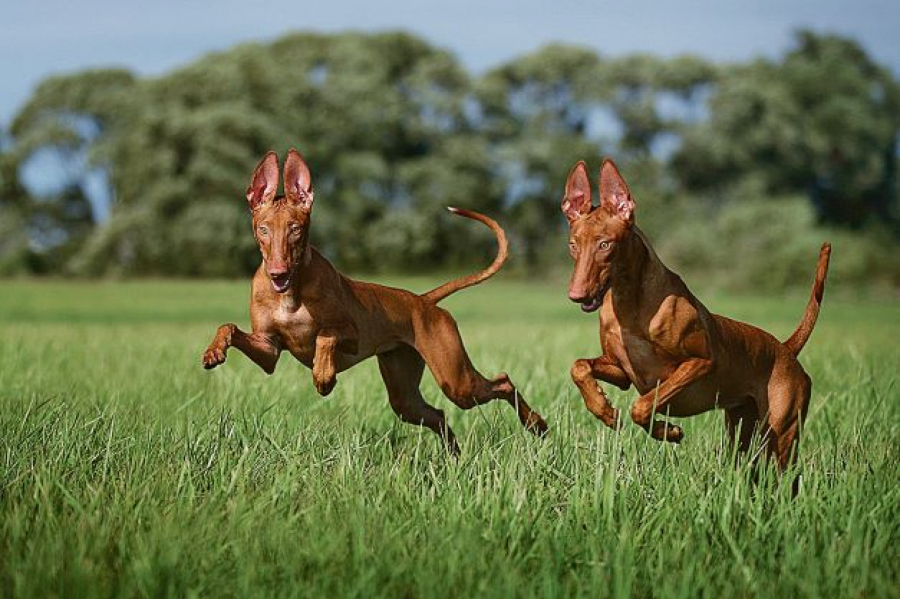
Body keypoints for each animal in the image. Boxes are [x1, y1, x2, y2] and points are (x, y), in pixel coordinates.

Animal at [202, 150, 548, 454]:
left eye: (295, 229)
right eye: (263, 229)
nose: (278, 272)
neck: (291, 291)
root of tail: (423, 301)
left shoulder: (351, 335)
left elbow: (325, 335)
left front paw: (323, 376)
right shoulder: (269, 350)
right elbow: (229, 327)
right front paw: (213, 352)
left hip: (455, 379)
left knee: (502, 382)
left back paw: (536, 424)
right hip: (404, 394)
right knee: (438, 415)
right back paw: (454, 457)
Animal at [564, 158, 828, 468]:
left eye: (605, 244)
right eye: (573, 245)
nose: (577, 295)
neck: (629, 304)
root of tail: (785, 349)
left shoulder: (700, 362)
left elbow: (642, 406)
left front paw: (667, 431)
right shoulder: (622, 372)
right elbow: (579, 367)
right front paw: (604, 410)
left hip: (782, 434)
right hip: (743, 429)